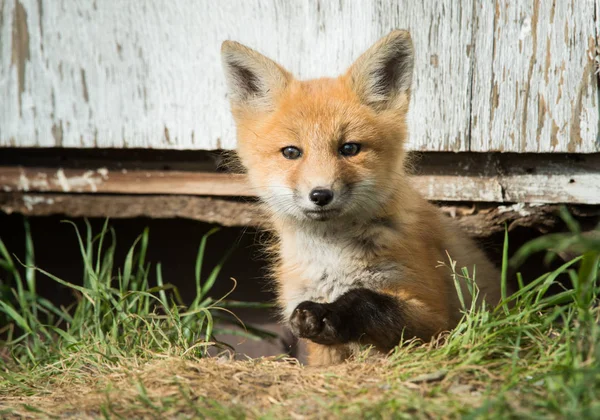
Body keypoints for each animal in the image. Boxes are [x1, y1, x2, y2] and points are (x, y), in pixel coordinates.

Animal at [223, 30, 504, 364]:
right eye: (291, 152)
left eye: (349, 149)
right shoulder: (322, 350)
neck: (332, 258)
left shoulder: (438, 320)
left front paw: (331, 313)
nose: (321, 194)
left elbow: (367, 298)